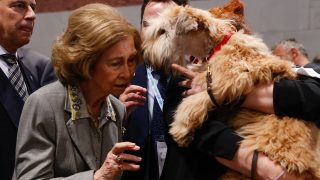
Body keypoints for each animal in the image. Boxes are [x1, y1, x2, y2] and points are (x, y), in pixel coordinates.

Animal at [142, 3, 320, 180]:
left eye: (162, 31)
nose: (144, 52)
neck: (218, 44)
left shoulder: (230, 79)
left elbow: (194, 100)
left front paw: (180, 128)